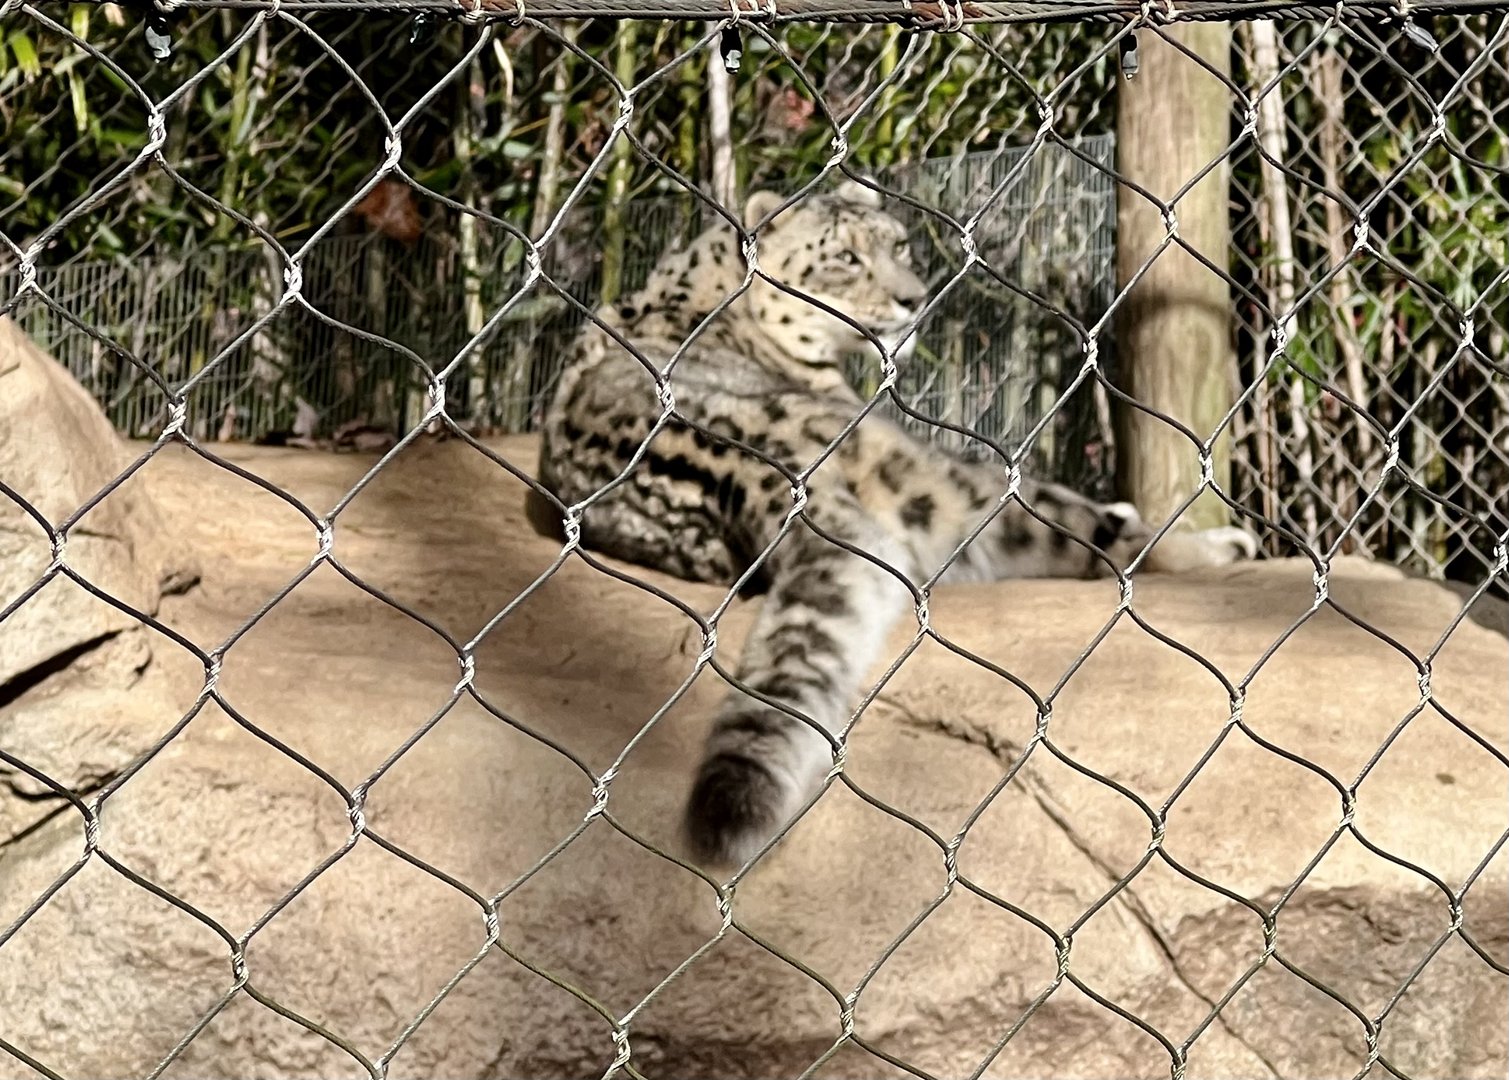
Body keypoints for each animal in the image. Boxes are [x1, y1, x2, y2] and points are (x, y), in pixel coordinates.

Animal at [526, 179, 1256, 870]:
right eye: (844, 258)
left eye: (899, 243)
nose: (912, 298)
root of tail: (755, 469)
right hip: (940, 475)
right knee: (1078, 534)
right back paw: (1219, 543)